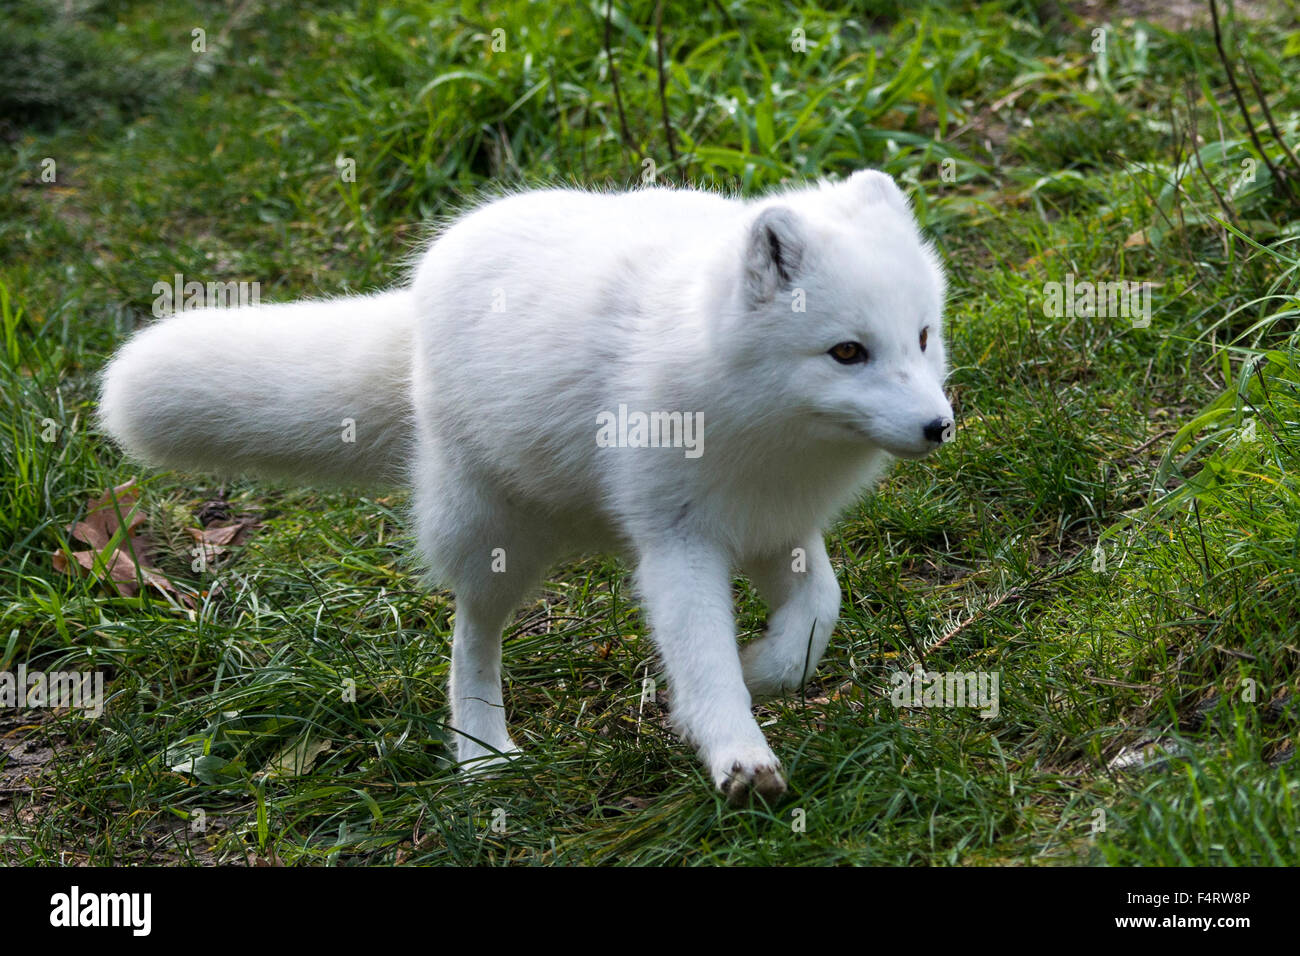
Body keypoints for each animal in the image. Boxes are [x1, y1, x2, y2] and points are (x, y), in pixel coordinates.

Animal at [98, 170, 956, 801]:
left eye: (921, 336)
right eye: (847, 352)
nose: (938, 427)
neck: (769, 429)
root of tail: (419, 294)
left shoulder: (777, 527)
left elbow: (816, 617)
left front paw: (758, 673)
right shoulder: (676, 543)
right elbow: (702, 655)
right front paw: (736, 749)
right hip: (492, 537)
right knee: (470, 638)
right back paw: (481, 750)